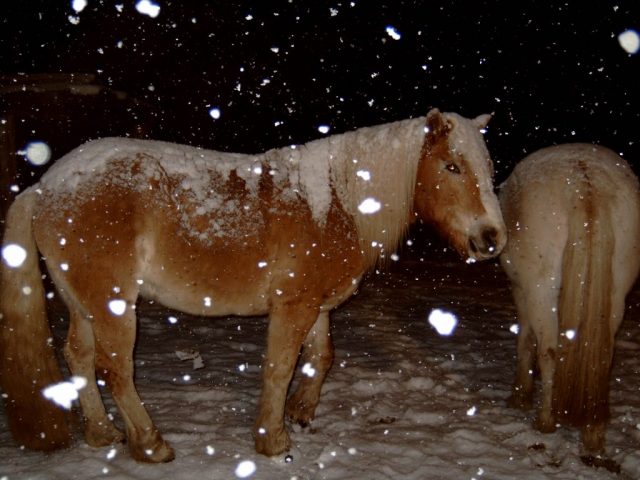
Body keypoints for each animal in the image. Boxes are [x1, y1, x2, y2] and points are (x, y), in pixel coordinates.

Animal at [0, 108, 506, 462]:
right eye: (452, 166)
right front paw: (273, 439)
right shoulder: (293, 306)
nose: (491, 239)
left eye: (488, 167)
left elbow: (320, 357)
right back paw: (149, 444)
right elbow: (280, 368)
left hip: (81, 302)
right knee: (115, 369)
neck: (336, 201)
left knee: (80, 359)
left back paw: (102, 433)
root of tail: (46, 186)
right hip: (113, 303)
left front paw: (300, 412)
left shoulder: (316, 307)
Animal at [499, 143, 640, 458]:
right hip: (615, 295)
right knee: (603, 354)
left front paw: (520, 395)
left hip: (542, 290)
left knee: (550, 350)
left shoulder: (522, 290)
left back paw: (546, 420)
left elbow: (526, 340)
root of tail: (585, 177)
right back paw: (593, 433)